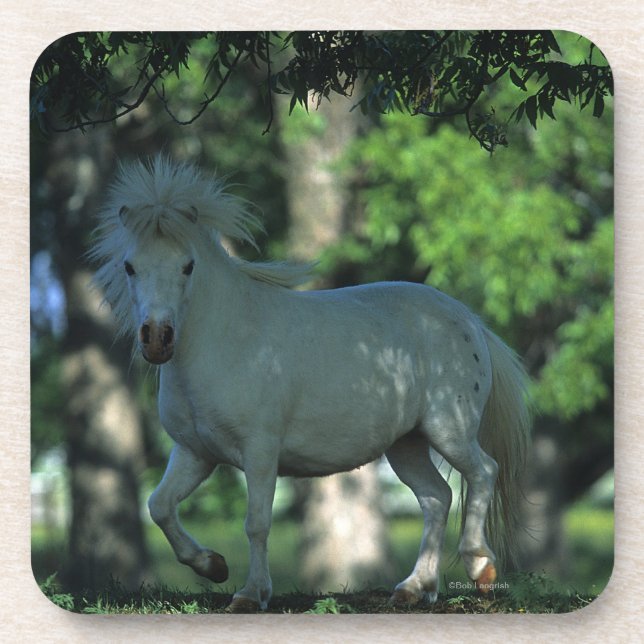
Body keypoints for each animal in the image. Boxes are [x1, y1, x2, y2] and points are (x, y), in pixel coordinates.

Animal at [90, 156, 532, 612]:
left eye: (187, 265)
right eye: (129, 266)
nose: (157, 339)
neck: (226, 338)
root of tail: (469, 320)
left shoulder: (259, 451)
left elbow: (257, 523)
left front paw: (250, 594)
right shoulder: (195, 453)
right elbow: (159, 506)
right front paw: (213, 566)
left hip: (449, 429)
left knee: (482, 472)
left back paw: (480, 568)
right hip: (406, 444)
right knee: (436, 497)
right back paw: (413, 588)